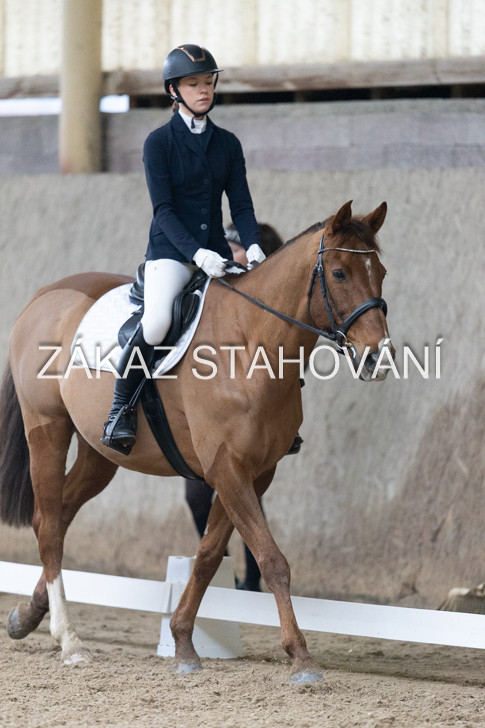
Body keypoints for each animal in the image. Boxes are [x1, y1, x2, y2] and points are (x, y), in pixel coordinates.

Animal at [0, 200, 391, 684]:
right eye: (339, 273)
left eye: (382, 273)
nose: (379, 358)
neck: (250, 342)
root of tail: (47, 292)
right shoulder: (227, 467)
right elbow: (272, 559)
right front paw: (301, 658)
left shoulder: (254, 472)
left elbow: (208, 556)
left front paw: (184, 643)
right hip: (47, 428)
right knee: (50, 523)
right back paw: (69, 640)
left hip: (100, 454)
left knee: (61, 513)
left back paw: (27, 616)